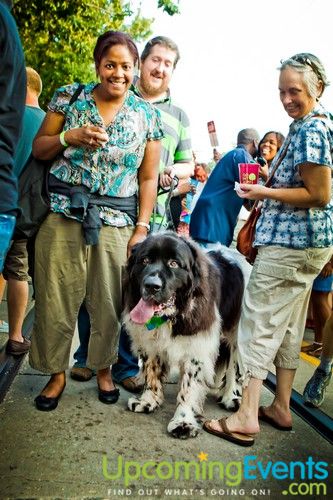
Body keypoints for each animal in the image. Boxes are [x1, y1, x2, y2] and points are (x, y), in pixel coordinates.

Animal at [123, 230, 248, 438]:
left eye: (174, 264)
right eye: (145, 260)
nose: (151, 285)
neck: (170, 316)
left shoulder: (197, 347)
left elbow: (189, 387)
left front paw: (183, 421)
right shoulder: (150, 343)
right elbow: (151, 371)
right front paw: (148, 400)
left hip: (237, 333)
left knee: (235, 366)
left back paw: (231, 396)